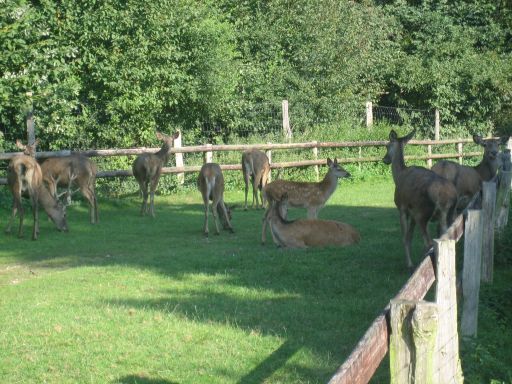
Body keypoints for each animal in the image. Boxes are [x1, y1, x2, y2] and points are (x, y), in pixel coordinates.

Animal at [382, 129, 458, 270]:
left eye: (387, 145)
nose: (385, 159)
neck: (398, 176)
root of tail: (446, 197)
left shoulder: (402, 207)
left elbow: (405, 237)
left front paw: (409, 264)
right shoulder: (412, 213)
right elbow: (410, 236)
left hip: (422, 213)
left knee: (428, 242)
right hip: (450, 213)